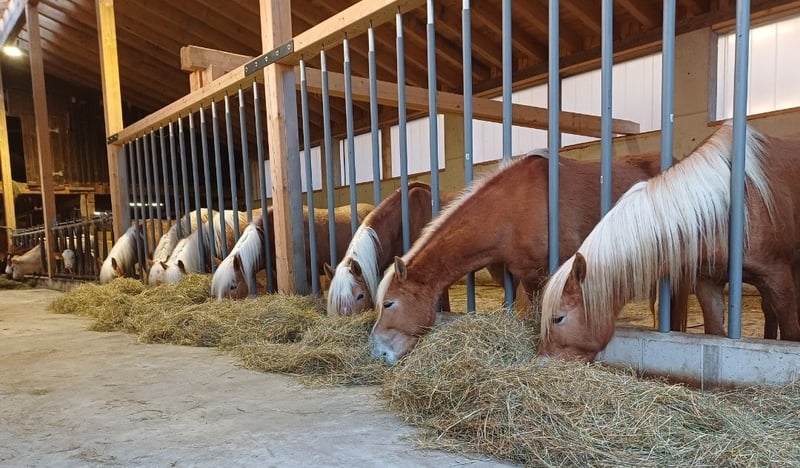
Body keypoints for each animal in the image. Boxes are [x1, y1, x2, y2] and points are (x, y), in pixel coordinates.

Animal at [538, 124, 800, 362]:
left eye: (558, 318)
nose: (544, 361)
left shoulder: (778, 279)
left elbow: (790, 332)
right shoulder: (708, 285)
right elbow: (715, 331)